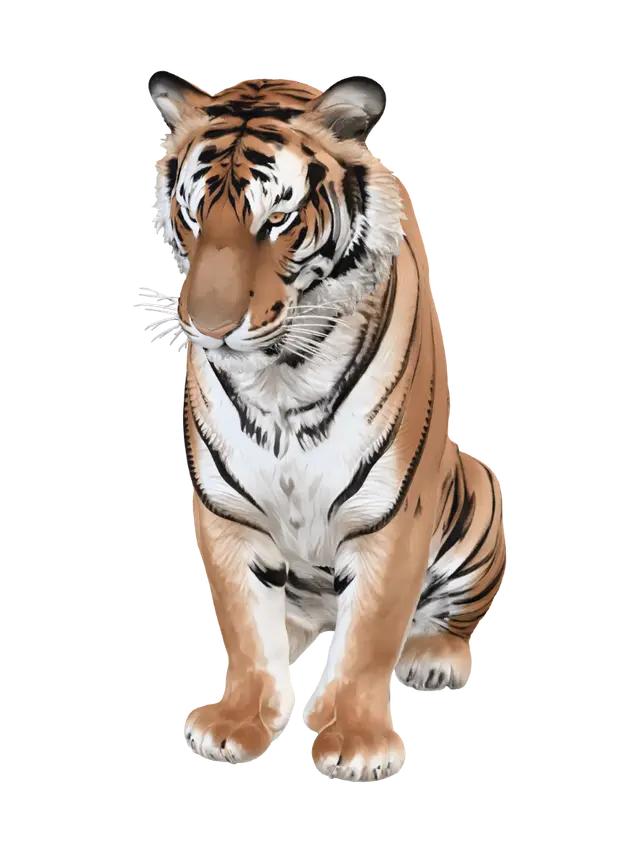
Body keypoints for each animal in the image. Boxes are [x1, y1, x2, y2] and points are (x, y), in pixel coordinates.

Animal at [147, 72, 508, 782]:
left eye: (277, 220)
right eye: (192, 215)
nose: (209, 327)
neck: (279, 379)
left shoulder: (392, 510)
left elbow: (371, 633)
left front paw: (358, 743)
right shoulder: (224, 508)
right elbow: (244, 626)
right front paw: (235, 725)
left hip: (479, 492)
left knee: (453, 616)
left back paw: (435, 658)